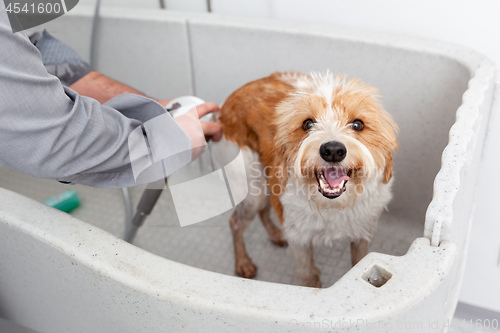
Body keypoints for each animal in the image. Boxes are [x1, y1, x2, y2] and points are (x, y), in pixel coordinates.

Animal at [219, 71, 398, 286]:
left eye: (357, 124)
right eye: (308, 124)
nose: (333, 150)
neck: (332, 206)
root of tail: (229, 102)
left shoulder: (362, 232)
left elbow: (358, 263)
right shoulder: (300, 241)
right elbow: (310, 275)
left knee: (263, 210)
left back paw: (276, 235)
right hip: (253, 189)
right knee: (236, 222)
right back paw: (243, 262)